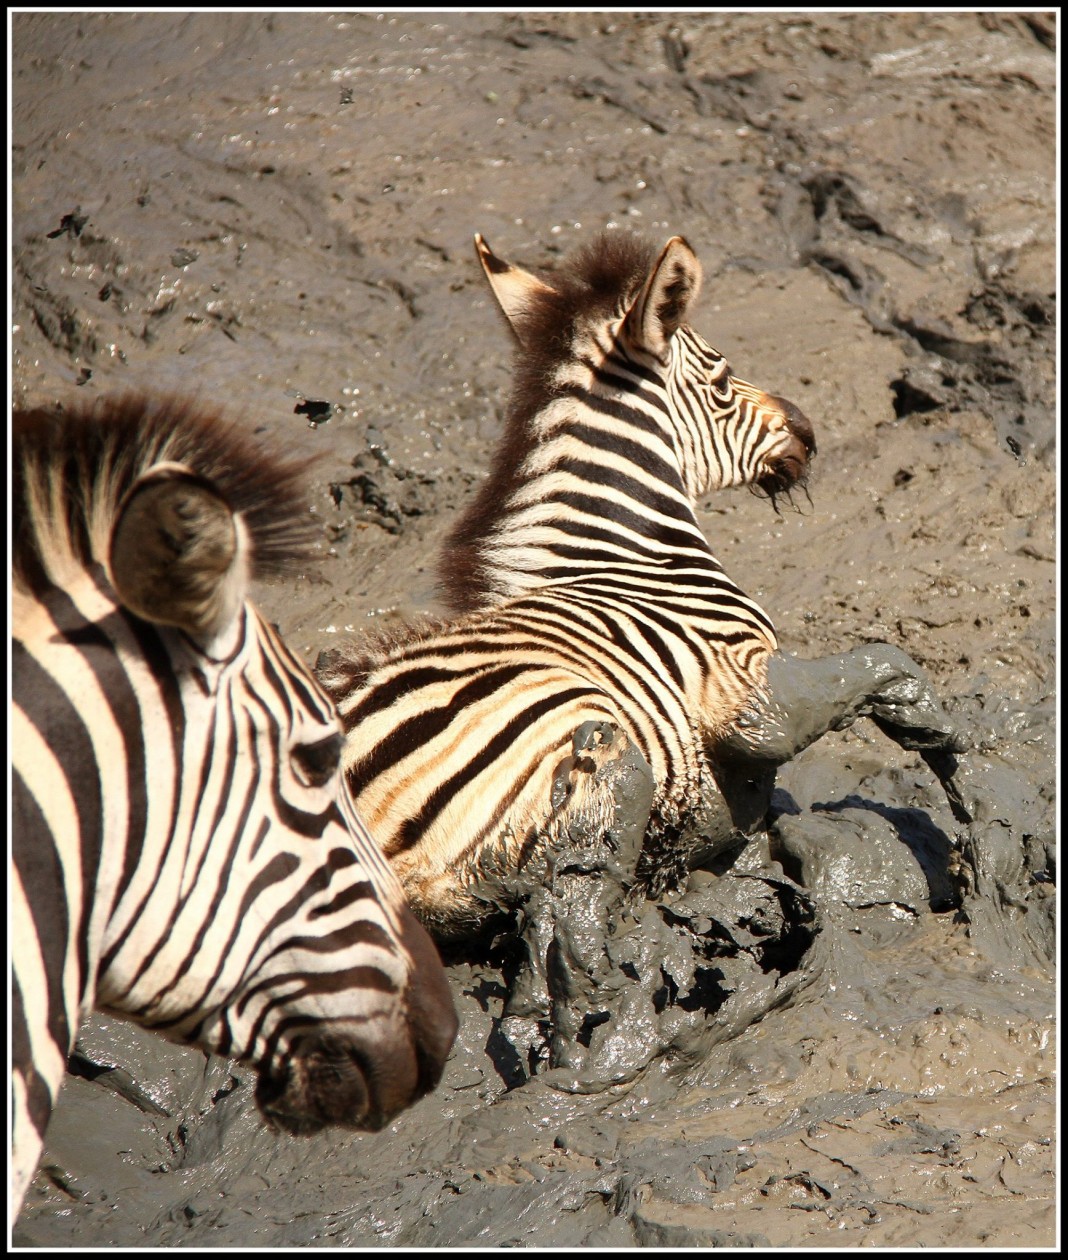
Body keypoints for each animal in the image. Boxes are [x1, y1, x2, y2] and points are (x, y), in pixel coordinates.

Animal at [317, 234, 967, 947]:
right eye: (721, 380)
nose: (808, 429)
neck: (620, 553)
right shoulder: (754, 697)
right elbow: (884, 661)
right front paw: (952, 759)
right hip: (606, 761)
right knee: (567, 912)